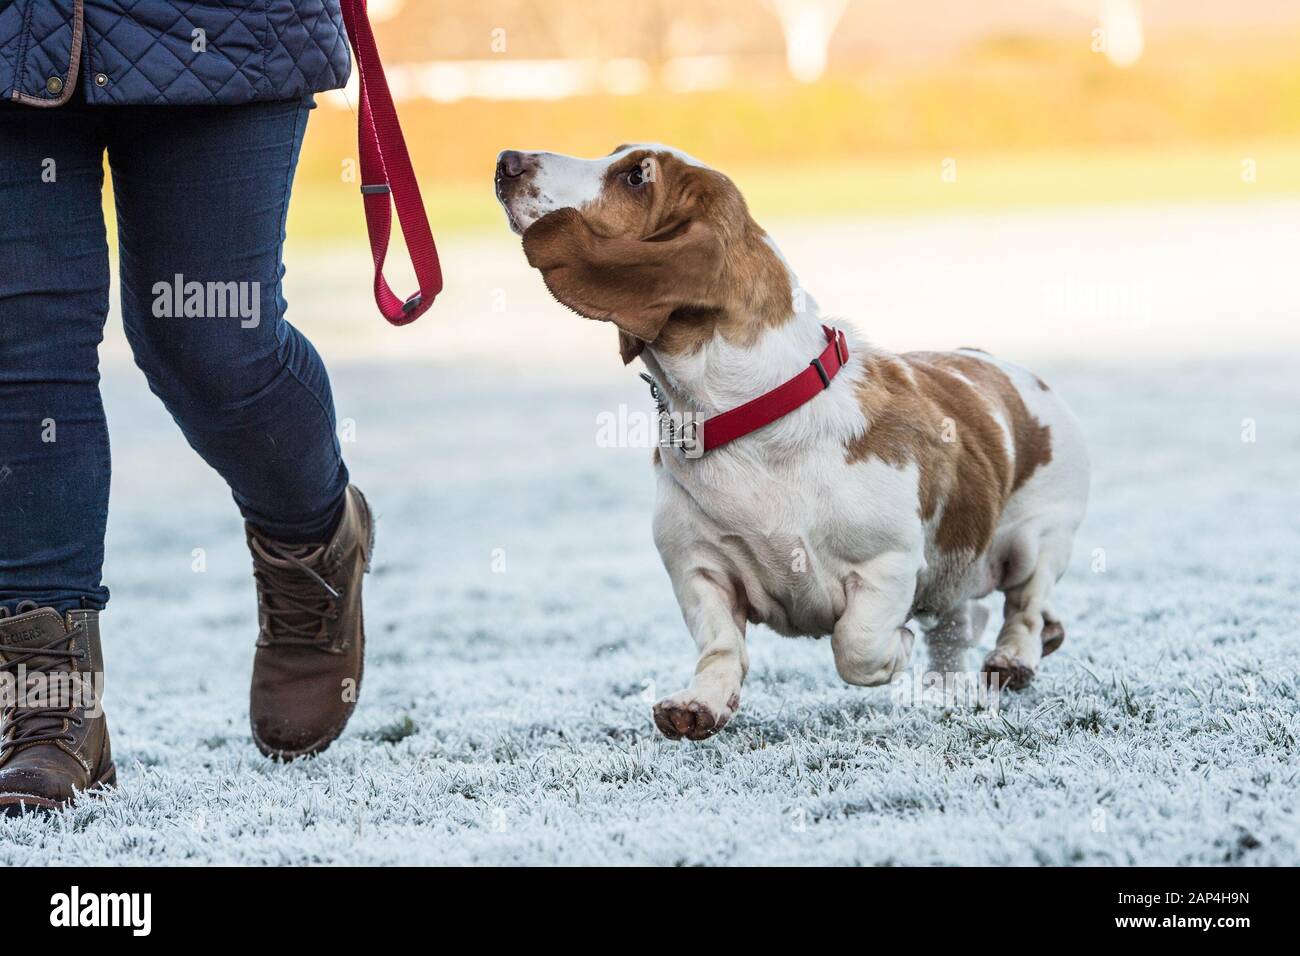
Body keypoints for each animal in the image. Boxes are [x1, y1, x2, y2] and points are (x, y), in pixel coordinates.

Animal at [493, 143, 1086, 738]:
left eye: (637, 176)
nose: (506, 160)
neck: (750, 415)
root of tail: (1009, 368)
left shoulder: (888, 563)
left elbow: (857, 646)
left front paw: (897, 647)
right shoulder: (698, 568)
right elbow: (720, 645)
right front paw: (701, 704)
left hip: (1036, 540)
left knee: (1023, 607)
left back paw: (1013, 659)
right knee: (964, 622)